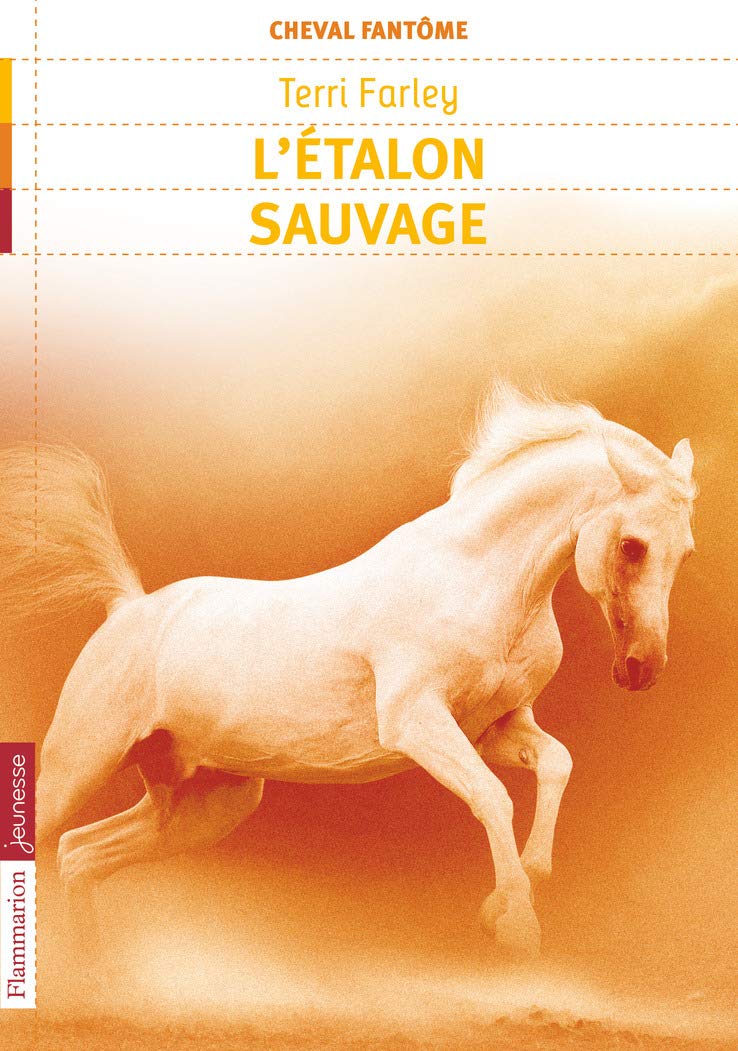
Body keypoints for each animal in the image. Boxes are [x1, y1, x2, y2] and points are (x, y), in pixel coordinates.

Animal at [0, 384, 697, 960]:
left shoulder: (492, 728)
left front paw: (524, 882)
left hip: (202, 804)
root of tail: (128, 608)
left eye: (685, 550)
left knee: (80, 857)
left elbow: (557, 763)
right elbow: (492, 797)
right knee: (54, 841)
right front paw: (515, 925)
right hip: (77, 765)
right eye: (633, 545)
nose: (642, 669)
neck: (478, 578)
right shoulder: (417, 722)